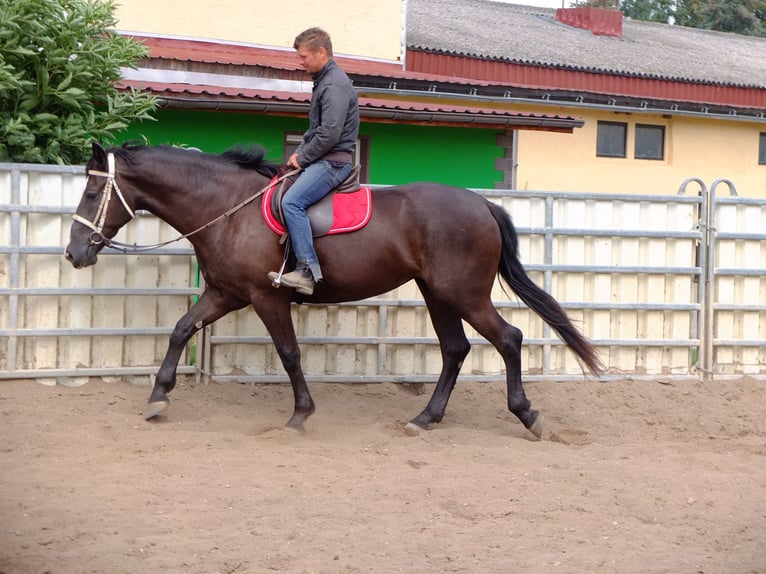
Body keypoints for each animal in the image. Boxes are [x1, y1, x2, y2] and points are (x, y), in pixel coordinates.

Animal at [66, 142, 604, 438]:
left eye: (92, 192)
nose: (74, 253)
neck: (227, 209)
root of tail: (482, 205)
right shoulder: (225, 294)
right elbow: (180, 330)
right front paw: (158, 397)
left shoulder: (266, 298)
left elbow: (289, 354)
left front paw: (300, 416)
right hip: (438, 294)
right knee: (456, 349)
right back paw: (425, 418)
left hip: (464, 294)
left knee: (508, 338)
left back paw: (526, 415)